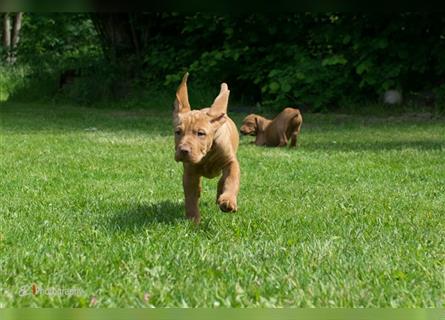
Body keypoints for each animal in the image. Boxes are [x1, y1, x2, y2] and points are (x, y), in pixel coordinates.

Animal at [172, 73, 239, 224]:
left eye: (201, 133)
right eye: (178, 132)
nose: (183, 151)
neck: (207, 154)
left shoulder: (231, 162)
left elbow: (231, 179)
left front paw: (228, 200)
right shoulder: (190, 171)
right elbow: (190, 196)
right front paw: (193, 220)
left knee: (222, 180)